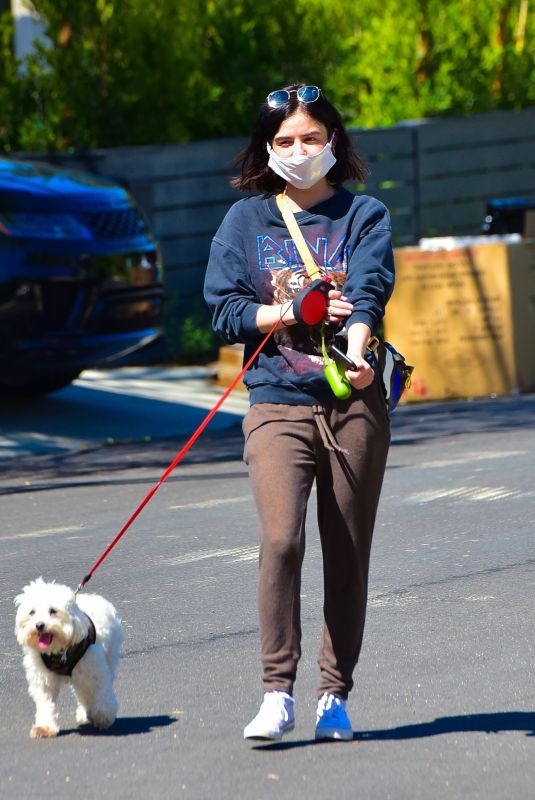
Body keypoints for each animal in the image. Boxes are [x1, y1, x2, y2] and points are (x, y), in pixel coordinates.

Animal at [14, 576, 124, 736]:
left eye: (53, 611)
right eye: (32, 612)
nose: (39, 625)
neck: (58, 650)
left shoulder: (95, 670)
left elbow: (101, 691)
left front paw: (103, 715)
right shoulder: (43, 679)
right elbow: (45, 702)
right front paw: (44, 726)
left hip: (106, 657)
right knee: (83, 693)